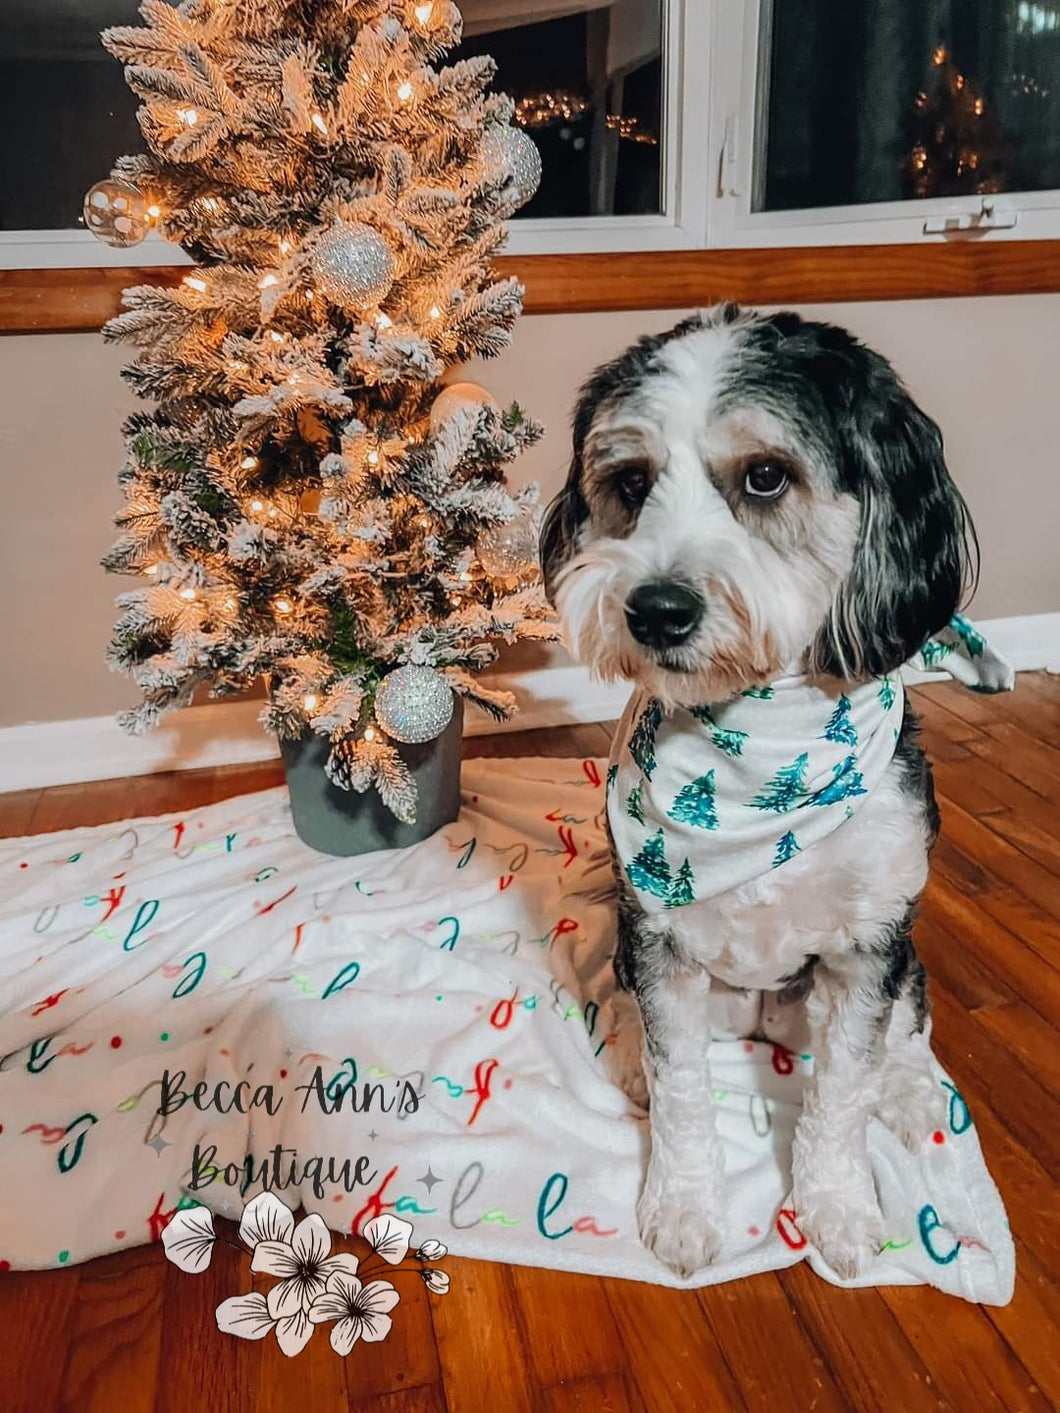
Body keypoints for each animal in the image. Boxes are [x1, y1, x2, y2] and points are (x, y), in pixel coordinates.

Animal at [542, 306, 983, 1283]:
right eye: (630, 482)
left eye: (766, 475)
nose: (655, 610)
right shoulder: (659, 942)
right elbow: (681, 1092)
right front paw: (681, 1206)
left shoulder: (870, 945)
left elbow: (844, 1091)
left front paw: (839, 1208)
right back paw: (624, 1051)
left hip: (899, 963)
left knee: (911, 1026)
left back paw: (913, 1092)